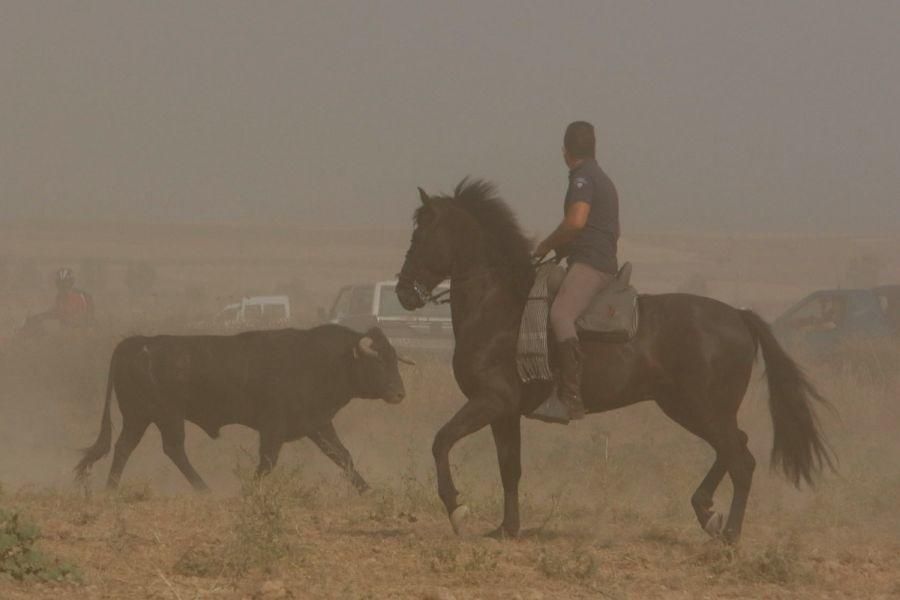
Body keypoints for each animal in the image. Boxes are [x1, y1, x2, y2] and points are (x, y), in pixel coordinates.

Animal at [74, 326, 412, 490]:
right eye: (378, 361)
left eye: (394, 358)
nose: (399, 393)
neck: (324, 360)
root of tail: (136, 344)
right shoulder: (273, 428)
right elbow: (267, 464)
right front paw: (248, 491)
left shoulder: (318, 424)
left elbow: (343, 457)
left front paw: (368, 490)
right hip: (166, 417)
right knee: (172, 449)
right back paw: (204, 490)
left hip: (139, 418)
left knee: (123, 448)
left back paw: (111, 489)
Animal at [398, 178, 832, 544]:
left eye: (421, 235)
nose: (403, 292)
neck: (498, 308)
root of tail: (739, 316)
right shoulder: (505, 412)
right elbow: (510, 468)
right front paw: (507, 529)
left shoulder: (491, 401)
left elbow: (441, 441)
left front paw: (457, 509)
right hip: (694, 408)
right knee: (734, 448)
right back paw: (707, 512)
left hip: (700, 408)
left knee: (741, 460)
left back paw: (728, 535)